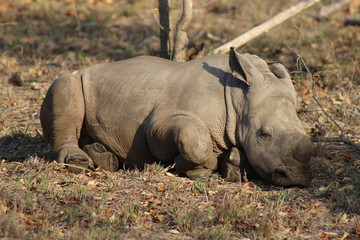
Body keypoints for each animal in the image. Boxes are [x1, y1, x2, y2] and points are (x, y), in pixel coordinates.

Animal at [40, 47, 314, 187]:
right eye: (264, 134)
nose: (297, 179)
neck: (237, 96)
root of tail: (86, 69)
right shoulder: (159, 123)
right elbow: (196, 141)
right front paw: (197, 170)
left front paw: (234, 165)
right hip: (78, 79)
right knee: (65, 85)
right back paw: (78, 162)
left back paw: (102, 157)